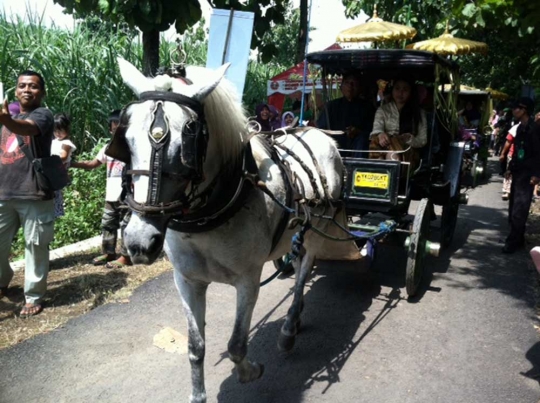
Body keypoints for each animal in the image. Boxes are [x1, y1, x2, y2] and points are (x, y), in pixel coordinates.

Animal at [114, 58, 350, 402]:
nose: (138, 241)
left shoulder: (248, 280)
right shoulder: (187, 281)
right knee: (297, 260)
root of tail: (319, 132)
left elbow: (237, 343)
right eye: (126, 138)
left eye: (188, 140)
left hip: (319, 228)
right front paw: (197, 395)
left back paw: (290, 326)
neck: (207, 218)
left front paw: (250, 371)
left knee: (305, 269)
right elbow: (195, 346)